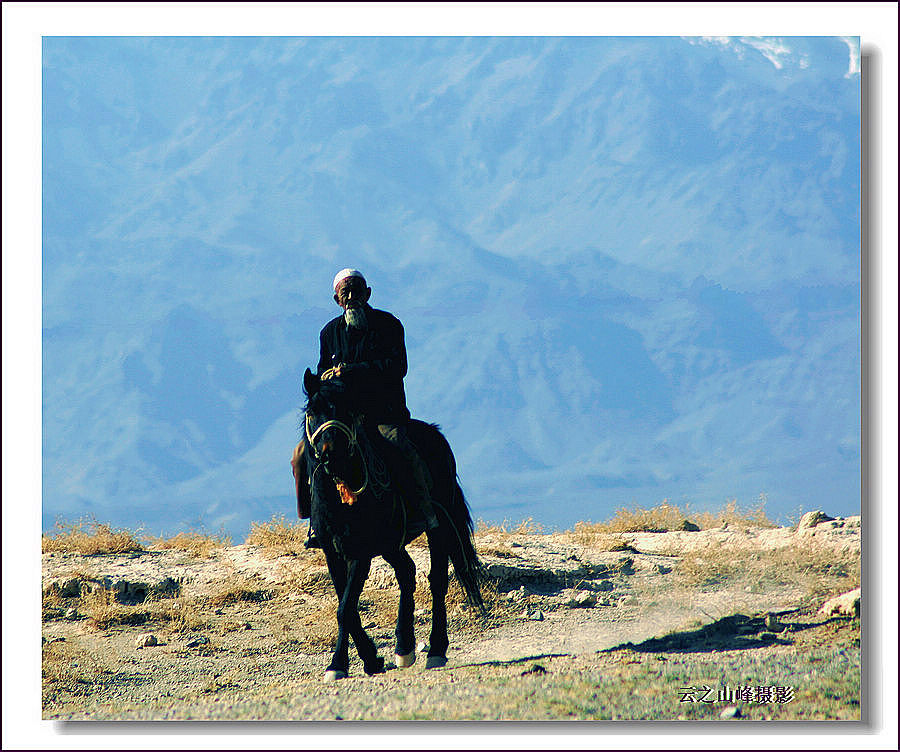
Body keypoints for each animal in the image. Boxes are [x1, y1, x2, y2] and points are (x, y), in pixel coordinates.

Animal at [298, 370, 482, 680]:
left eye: (346, 411)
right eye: (312, 412)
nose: (330, 454)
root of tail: (435, 433)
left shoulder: (360, 553)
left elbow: (345, 608)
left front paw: (342, 664)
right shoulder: (332, 552)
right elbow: (345, 607)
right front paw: (363, 660)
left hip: (439, 527)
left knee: (436, 580)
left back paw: (434, 649)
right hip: (389, 544)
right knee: (407, 572)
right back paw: (404, 646)